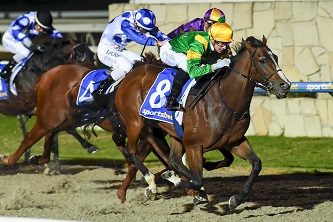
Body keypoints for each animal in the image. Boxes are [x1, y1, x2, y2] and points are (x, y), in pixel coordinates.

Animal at [114, 36, 290, 210]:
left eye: (276, 57)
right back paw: (151, 182)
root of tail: (132, 73)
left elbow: (256, 163)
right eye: (262, 60)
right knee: (132, 153)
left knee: (174, 159)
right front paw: (176, 180)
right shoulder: (193, 145)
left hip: (172, 132)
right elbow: (198, 180)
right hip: (135, 123)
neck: (224, 100)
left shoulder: (234, 141)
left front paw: (236, 199)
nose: (285, 86)